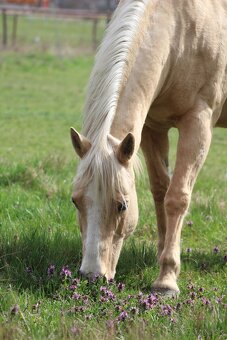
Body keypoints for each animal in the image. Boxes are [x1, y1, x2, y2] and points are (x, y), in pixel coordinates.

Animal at [70, 0, 227, 294]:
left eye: (122, 205)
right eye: (75, 201)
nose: (91, 276)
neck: (180, 30)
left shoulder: (198, 123)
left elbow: (177, 197)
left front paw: (167, 280)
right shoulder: (153, 128)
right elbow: (160, 191)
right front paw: (164, 258)